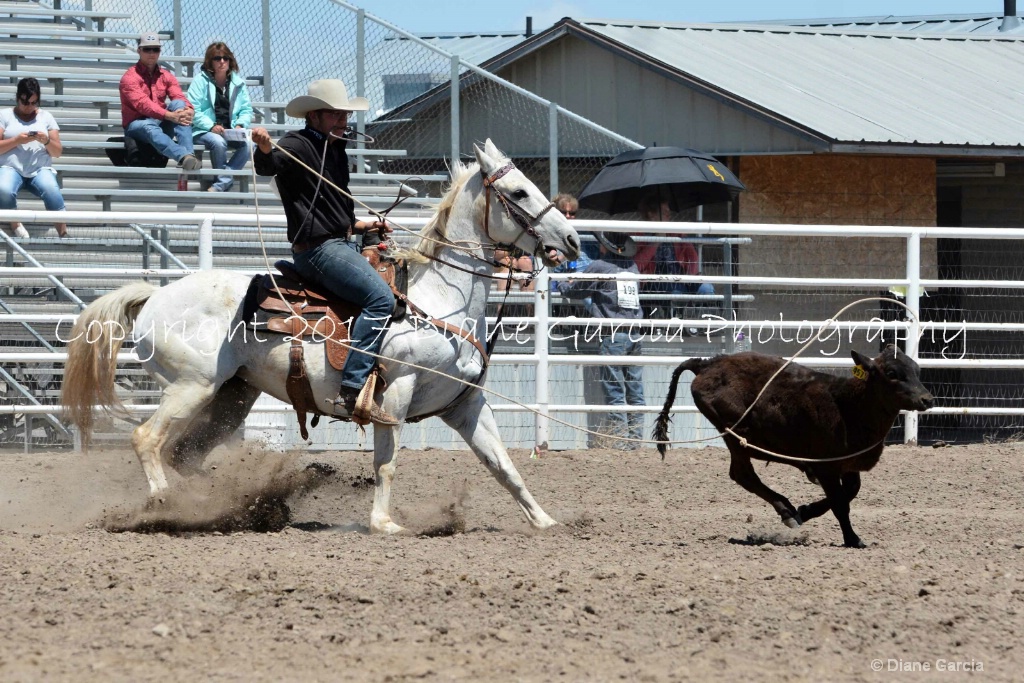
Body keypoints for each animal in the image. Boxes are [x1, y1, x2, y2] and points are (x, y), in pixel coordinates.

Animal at [61, 139, 577, 532]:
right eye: (519, 192)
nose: (571, 240)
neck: (436, 298)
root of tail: (155, 295)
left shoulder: (466, 404)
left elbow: (504, 467)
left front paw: (546, 522)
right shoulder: (395, 393)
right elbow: (386, 463)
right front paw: (383, 524)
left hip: (232, 395)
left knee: (184, 453)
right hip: (192, 386)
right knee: (147, 439)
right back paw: (168, 506)